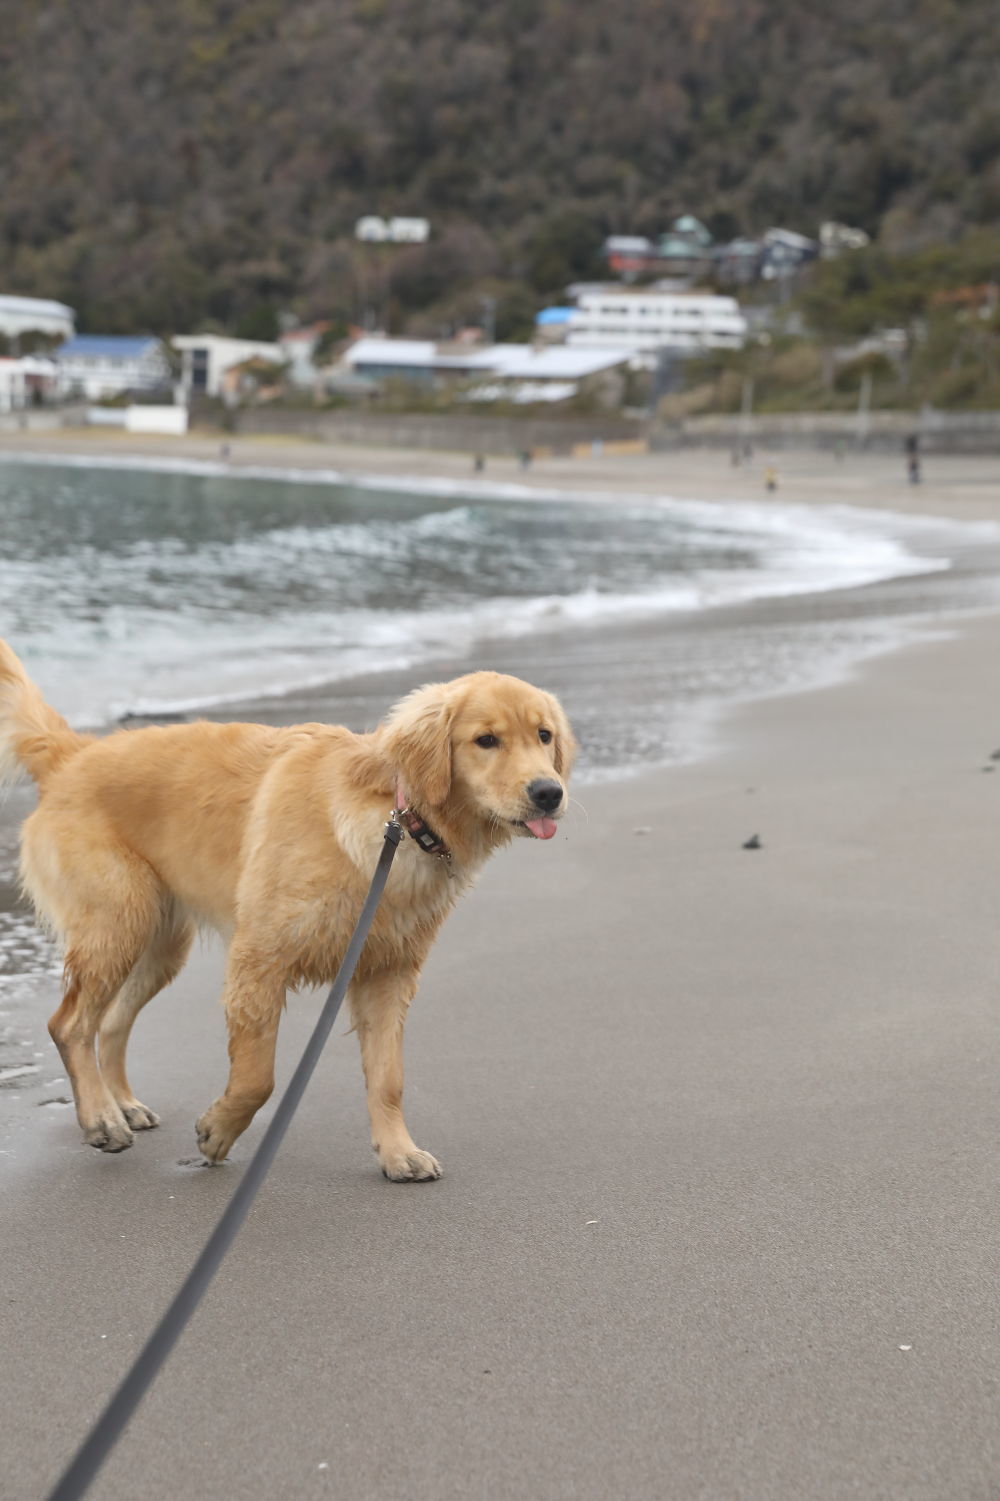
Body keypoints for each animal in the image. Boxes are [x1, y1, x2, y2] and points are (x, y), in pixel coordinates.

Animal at [0, 645, 573, 1182]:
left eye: (544, 736)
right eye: (486, 740)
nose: (550, 792)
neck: (400, 822)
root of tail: (74, 753)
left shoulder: (387, 974)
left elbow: (389, 1079)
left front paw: (398, 1152)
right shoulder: (259, 961)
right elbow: (258, 1077)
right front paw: (218, 1132)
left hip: (159, 944)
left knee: (112, 1020)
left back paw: (121, 1103)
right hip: (119, 920)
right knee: (71, 1024)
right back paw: (100, 1117)